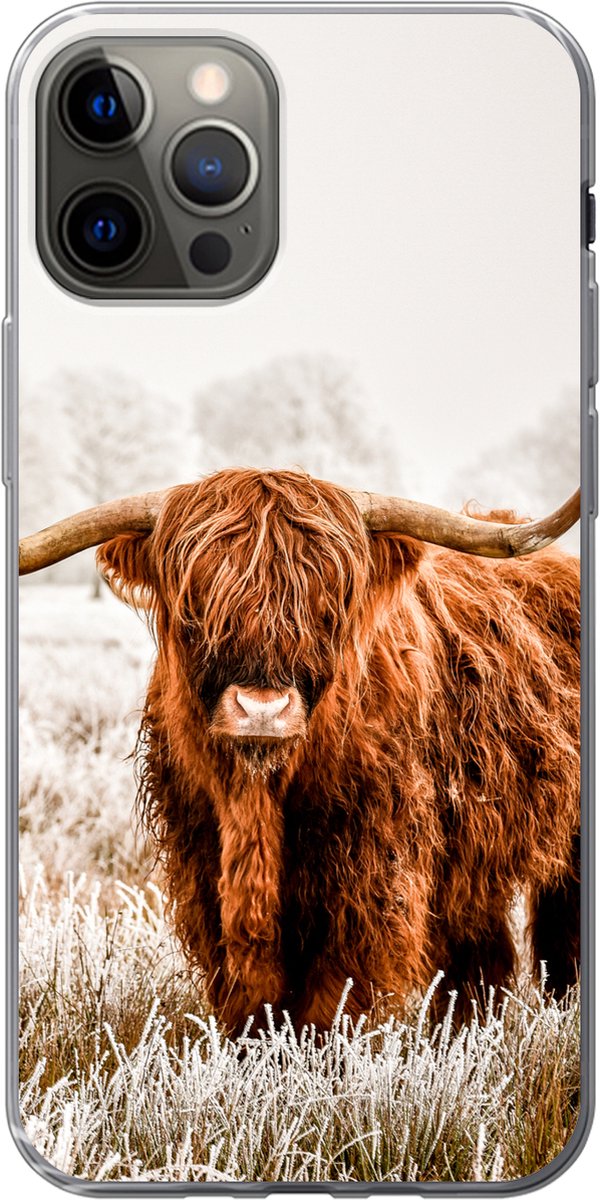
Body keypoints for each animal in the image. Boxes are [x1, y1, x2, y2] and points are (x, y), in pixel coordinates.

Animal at [19, 468, 581, 1035]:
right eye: (194, 605)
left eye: (328, 606)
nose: (261, 709)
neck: (258, 800)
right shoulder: (202, 865)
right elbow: (249, 998)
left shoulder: (369, 873)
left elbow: (334, 999)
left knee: (561, 934)